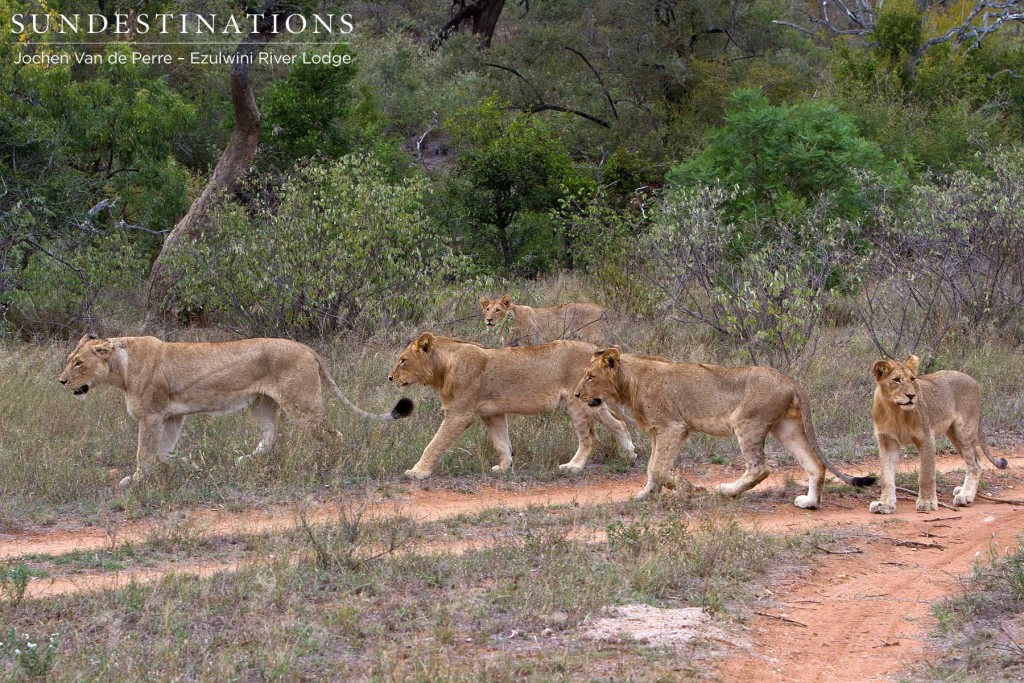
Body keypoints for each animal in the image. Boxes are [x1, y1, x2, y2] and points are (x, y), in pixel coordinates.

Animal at [57, 335, 411, 485]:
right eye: (70, 359)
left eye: (78, 362)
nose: (60, 381)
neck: (120, 368)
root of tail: (307, 347)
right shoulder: (172, 416)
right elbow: (162, 453)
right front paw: (188, 465)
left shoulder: (152, 416)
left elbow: (145, 454)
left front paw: (135, 481)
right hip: (262, 404)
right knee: (271, 438)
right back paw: (243, 462)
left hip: (301, 402)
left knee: (331, 434)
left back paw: (325, 466)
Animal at [389, 333, 634, 479]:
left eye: (403, 360)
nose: (389, 378)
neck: (443, 367)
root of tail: (597, 351)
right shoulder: (492, 413)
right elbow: (501, 442)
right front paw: (504, 467)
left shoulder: (459, 414)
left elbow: (434, 444)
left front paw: (418, 471)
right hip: (594, 403)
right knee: (618, 423)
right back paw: (629, 454)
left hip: (578, 403)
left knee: (590, 438)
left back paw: (573, 466)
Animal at [573, 348, 876, 507]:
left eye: (590, 377)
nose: (575, 394)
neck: (630, 381)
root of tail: (790, 380)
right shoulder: (658, 431)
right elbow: (652, 468)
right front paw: (646, 494)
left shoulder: (673, 427)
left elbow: (659, 468)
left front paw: (691, 489)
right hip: (786, 428)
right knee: (815, 464)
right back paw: (809, 503)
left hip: (747, 422)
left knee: (760, 468)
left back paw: (726, 491)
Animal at [864, 358, 1007, 511]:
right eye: (896, 380)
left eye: (912, 379)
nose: (911, 396)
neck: (895, 410)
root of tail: (975, 381)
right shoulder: (887, 441)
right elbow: (886, 477)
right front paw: (884, 504)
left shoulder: (926, 437)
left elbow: (926, 474)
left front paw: (927, 502)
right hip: (953, 434)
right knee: (977, 462)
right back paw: (963, 490)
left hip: (964, 431)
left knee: (974, 466)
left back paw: (965, 495)